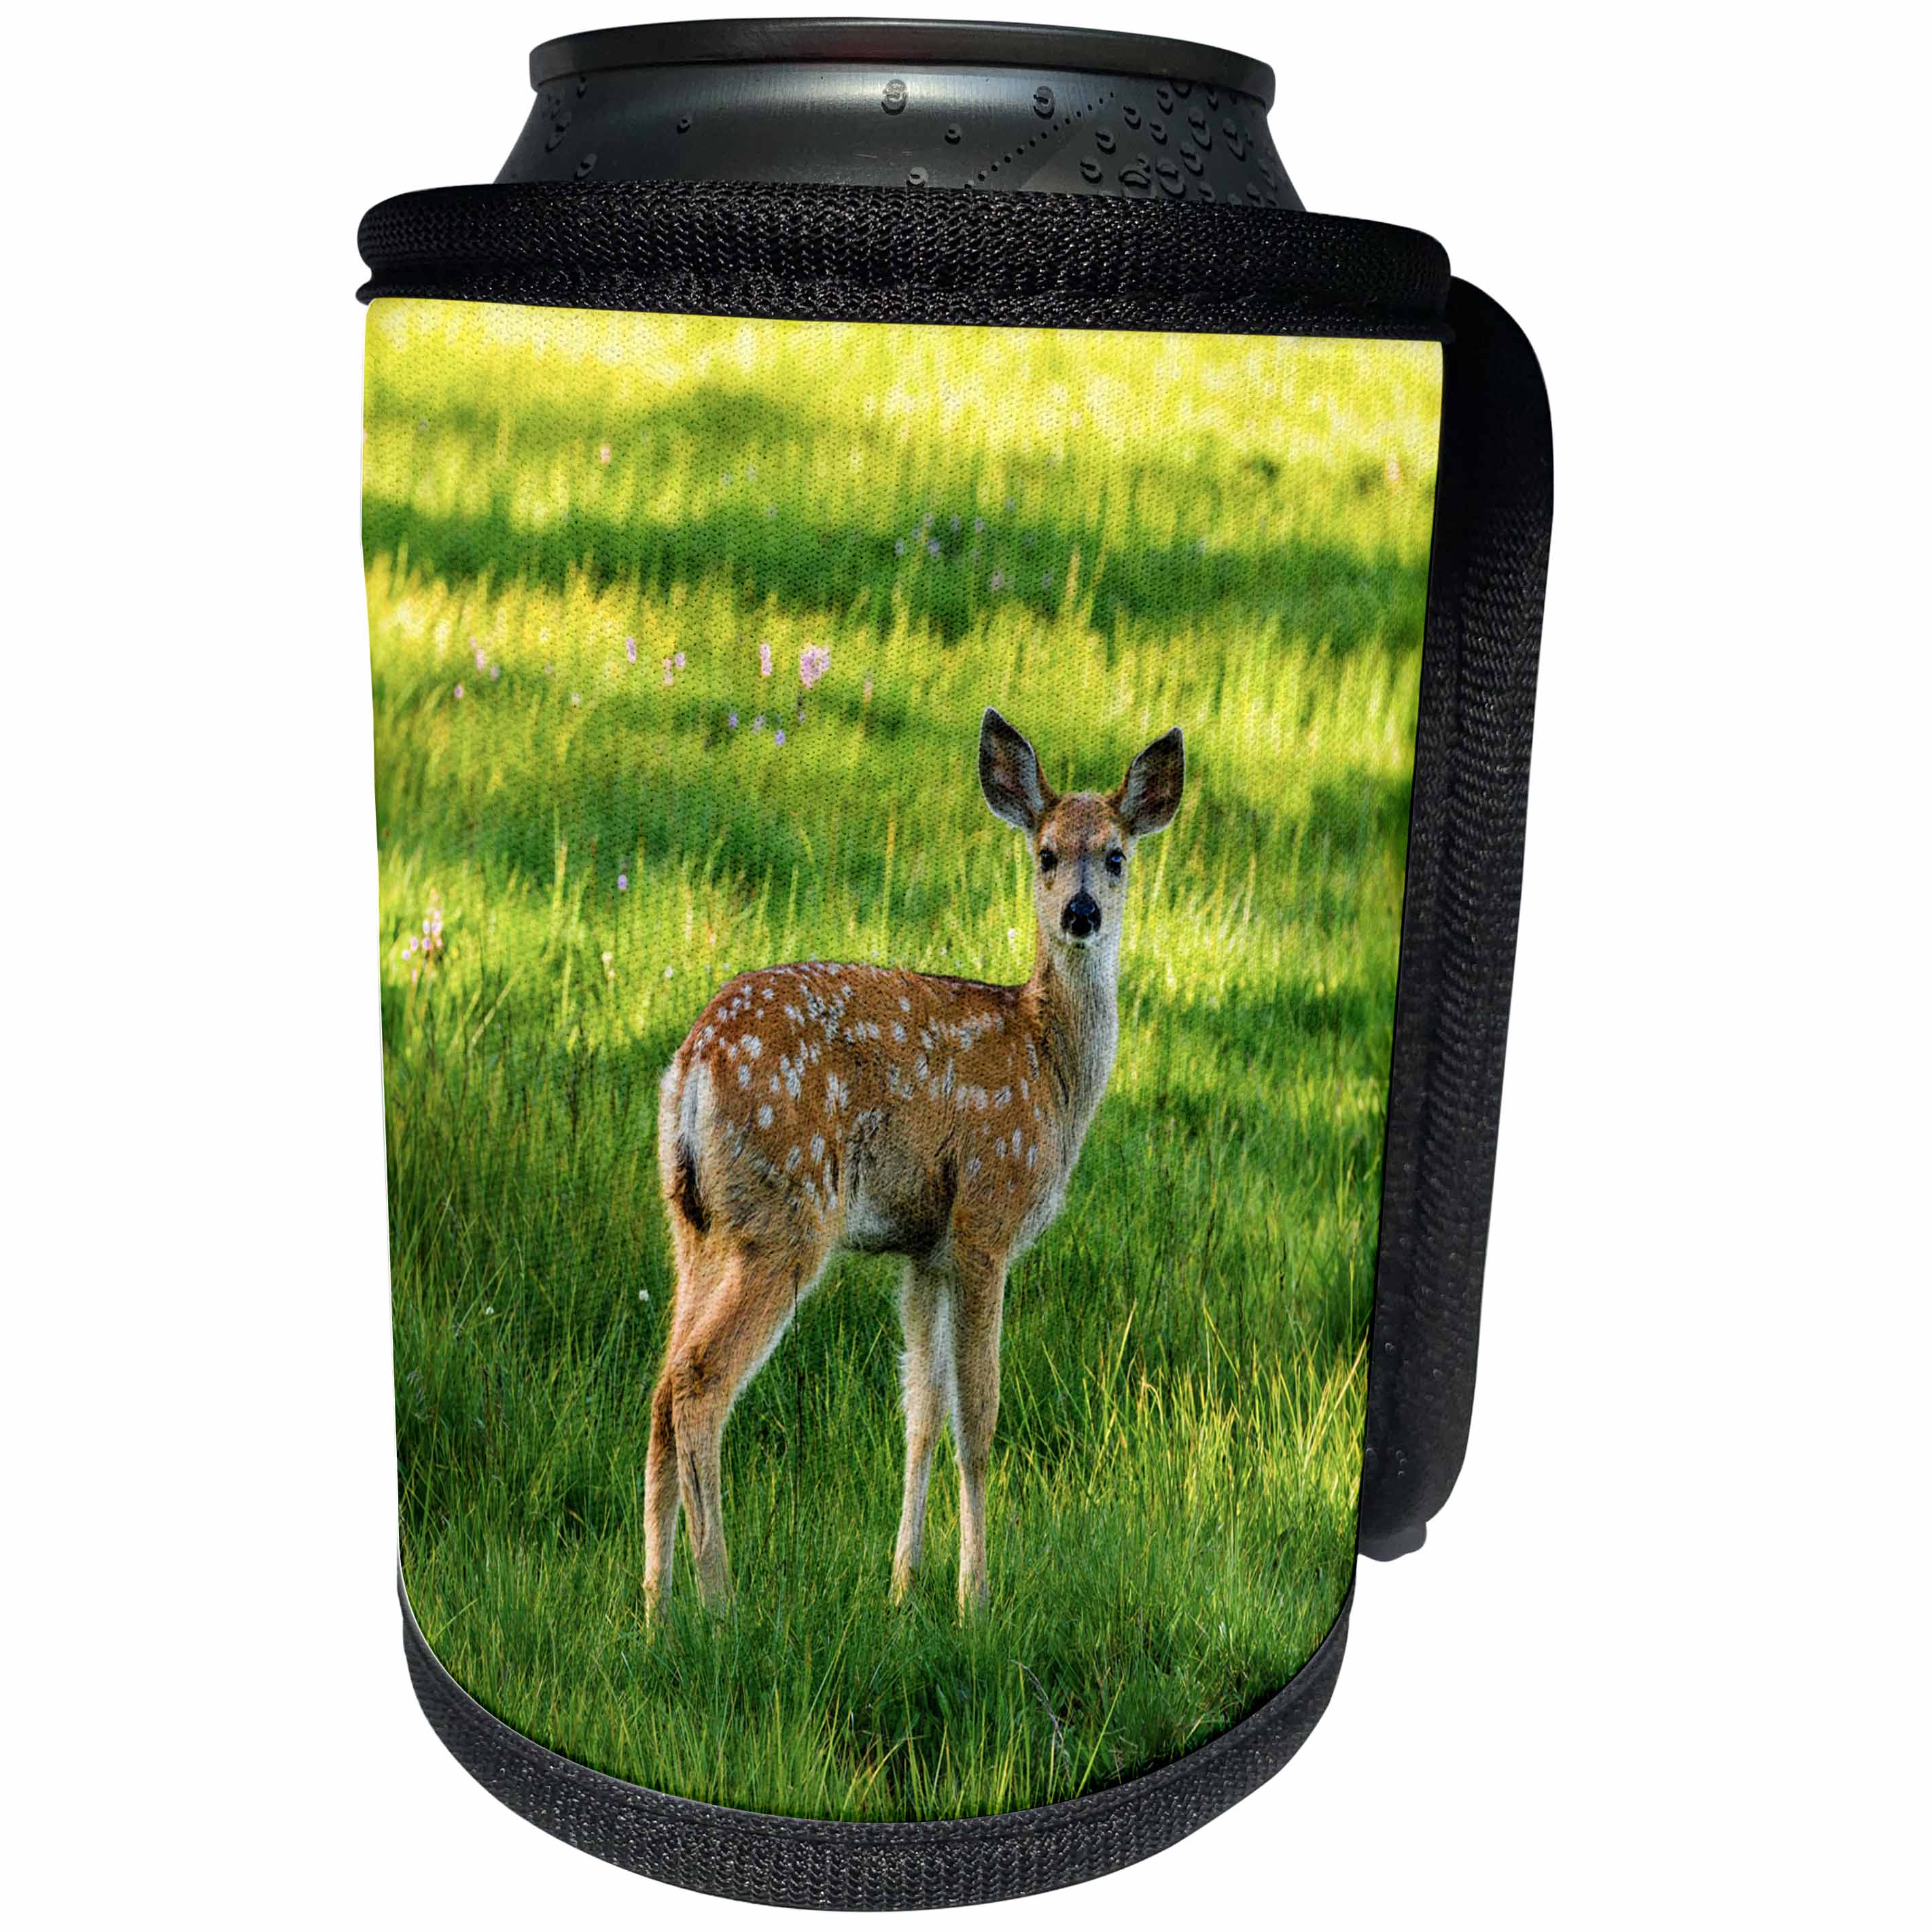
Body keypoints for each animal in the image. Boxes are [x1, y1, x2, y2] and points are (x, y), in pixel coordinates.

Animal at [643, 708, 1185, 1616]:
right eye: (1044, 852)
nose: (1080, 912)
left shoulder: (921, 1250)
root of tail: (691, 1067)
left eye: (1116, 855)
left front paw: (902, 1583)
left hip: (697, 1222)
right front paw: (975, 1596)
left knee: (659, 1383)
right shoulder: (985, 1215)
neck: (1050, 1067)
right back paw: (720, 1603)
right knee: (697, 1382)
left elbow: (920, 1412)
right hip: (785, 1216)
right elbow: (978, 1418)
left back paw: (652, 1603)